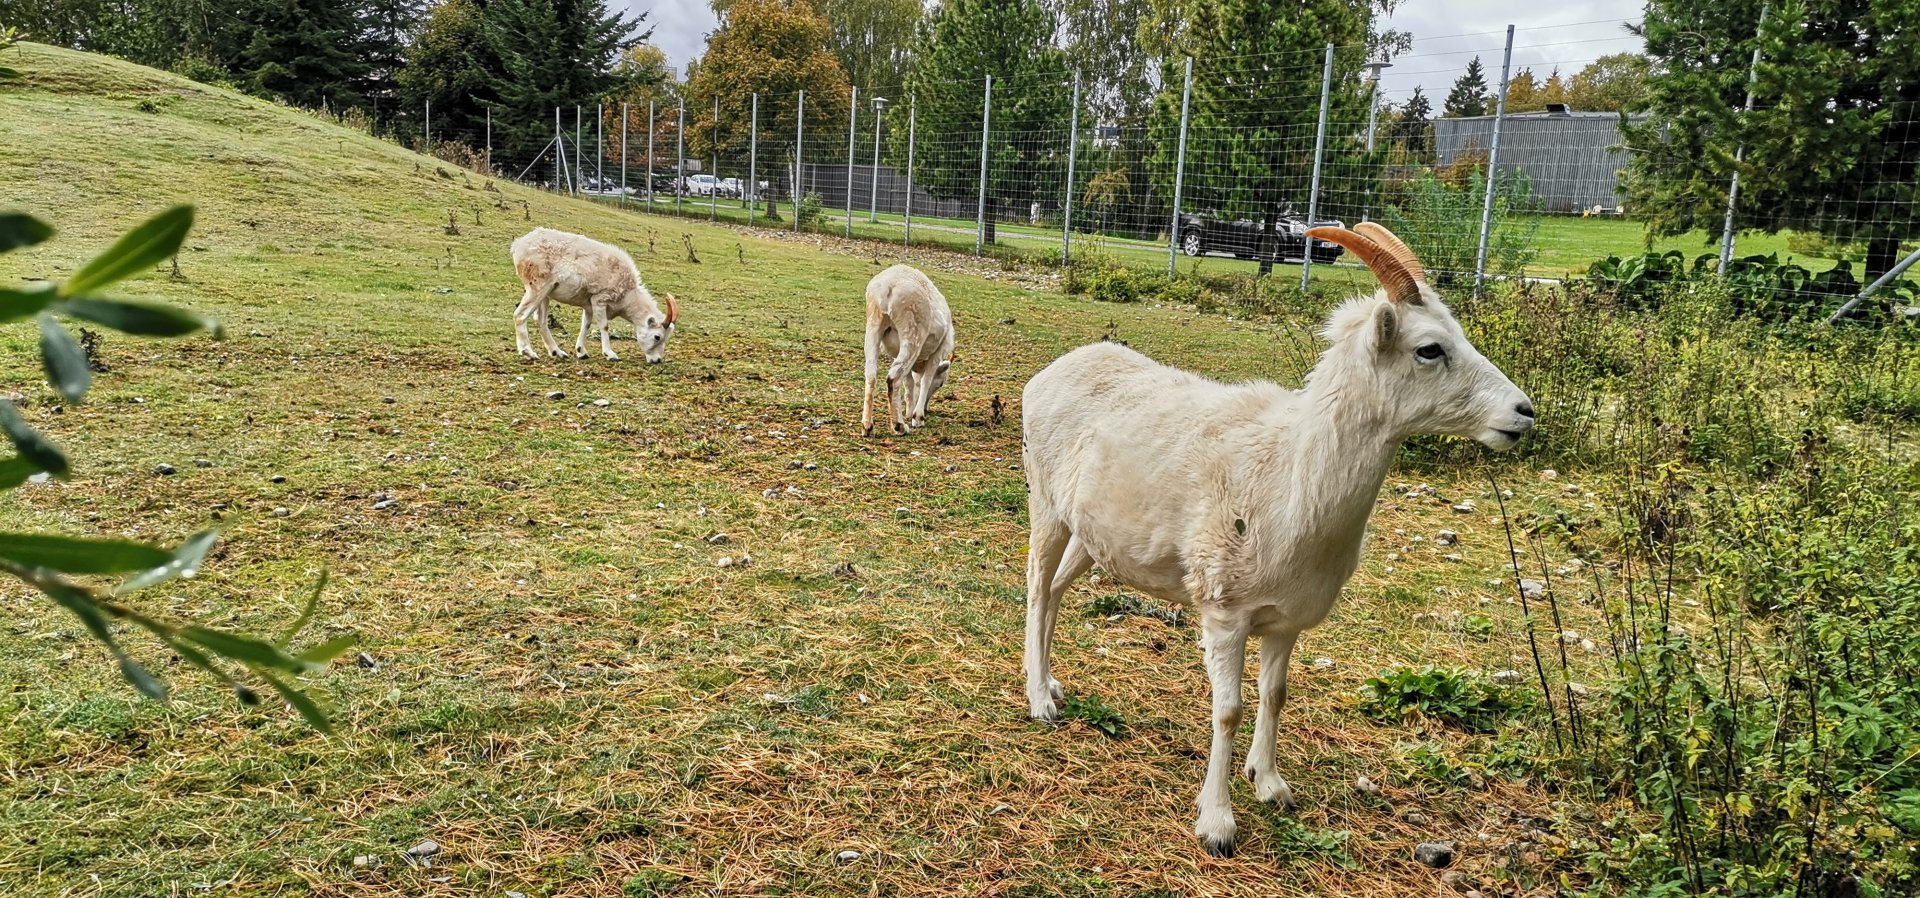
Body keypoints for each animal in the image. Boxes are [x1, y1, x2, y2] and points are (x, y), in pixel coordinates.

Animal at [510, 227, 678, 363]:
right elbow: (604, 326)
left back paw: (558, 352)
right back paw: (528, 352)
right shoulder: (600, 300)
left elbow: (586, 325)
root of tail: (518, 246)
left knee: (541, 321)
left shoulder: (588, 305)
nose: (656, 360)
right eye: (657, 336)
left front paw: (581, 353)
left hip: (546, 294)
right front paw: (610, 354)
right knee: (520, 315)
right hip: (537, 287)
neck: (628, 293)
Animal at [862, 264, 955, 436]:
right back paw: (899, 426)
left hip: (873, 324)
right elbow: (925, 381)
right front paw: (917, 418)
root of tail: (888, 287)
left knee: (871, 375)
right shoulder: (938, 352)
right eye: (941, 384)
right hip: (913, 332)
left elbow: (909, 383)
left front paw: (909, 412)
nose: (926, 409)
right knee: (893, 378)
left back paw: (867, 426)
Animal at [1018, 222, 1534, 857]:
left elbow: (1275, 695)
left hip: (1092, 538)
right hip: (1045, 503)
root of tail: (1051, 371)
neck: (1290, 475)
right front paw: (1217, 823)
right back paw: (1039, 701)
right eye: (1430, 348)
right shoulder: (1224, 610)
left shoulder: (1285, 620)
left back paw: (1053, 684)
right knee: (1036, 588)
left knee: (1057, 591)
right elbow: (1228, 710)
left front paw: (1270, 784)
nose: (1522, 413)